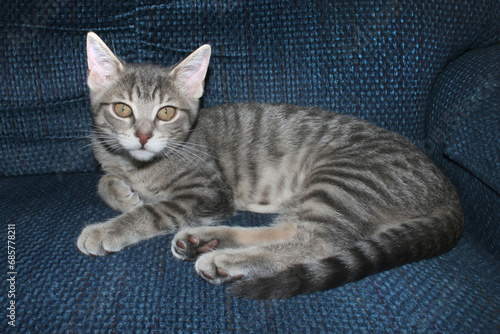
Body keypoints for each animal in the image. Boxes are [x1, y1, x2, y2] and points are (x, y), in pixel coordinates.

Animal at [78, 32, 464, 300]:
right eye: (123, 109)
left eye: (166, 112)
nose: (143, 136)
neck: (139, 165)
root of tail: (449, 192)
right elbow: (106, 179)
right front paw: (121, 192)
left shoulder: (209, 192)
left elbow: (155, 211)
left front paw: (109, 228)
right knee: (290, 228)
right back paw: (204, 240)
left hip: (343, 180)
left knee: (318, 243)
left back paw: (223, 260)